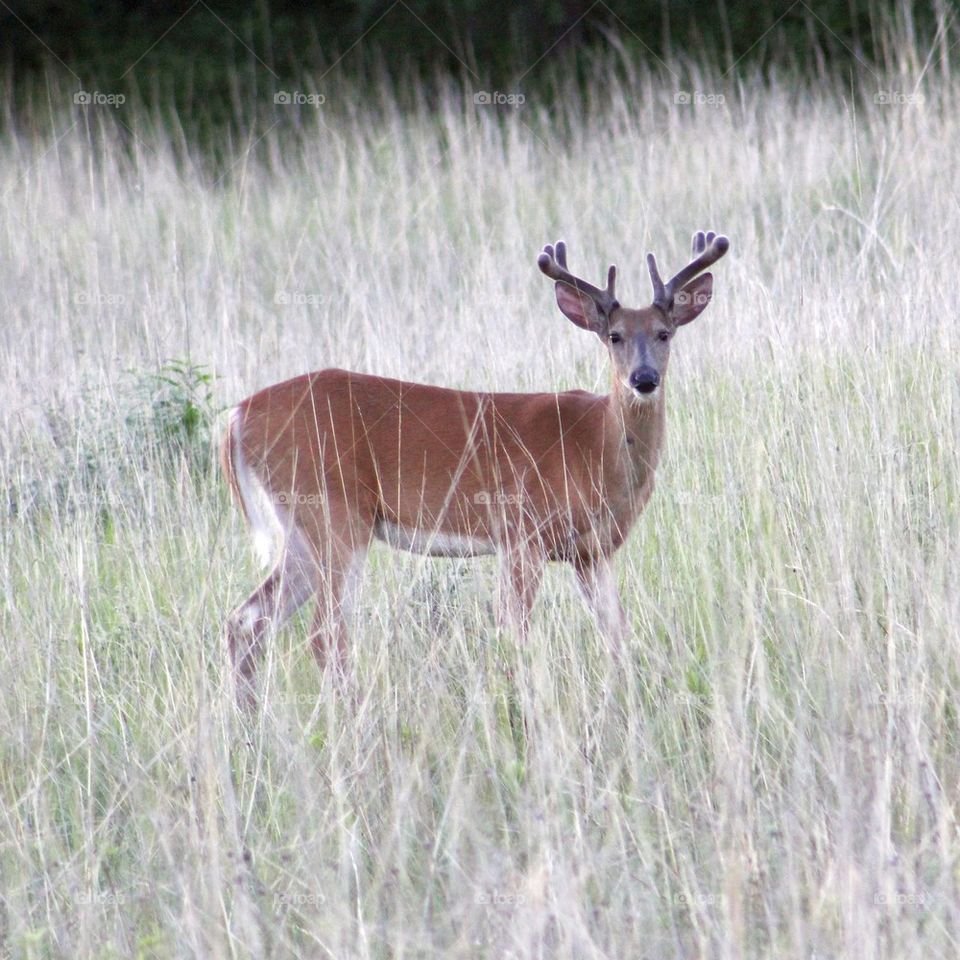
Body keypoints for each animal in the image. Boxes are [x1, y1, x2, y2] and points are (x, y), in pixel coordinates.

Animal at [222, 231, 729, 705]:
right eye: (614, 336)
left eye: (665, 333)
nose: (644, 379)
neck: (596, 446)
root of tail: (237, 416)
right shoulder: (523, 532)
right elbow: (515, 634)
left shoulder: (591, 552)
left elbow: (618, 636)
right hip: (334, 513)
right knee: (324, 634)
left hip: (304, 530)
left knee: (246, 620)